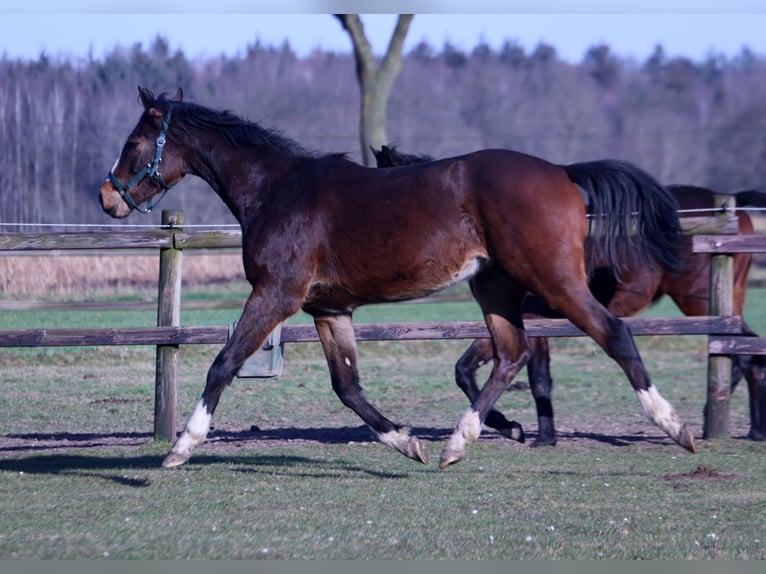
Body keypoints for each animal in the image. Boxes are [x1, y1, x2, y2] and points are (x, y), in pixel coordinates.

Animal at [100, 88, 696, 470]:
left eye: (133, 143)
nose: (108, 197)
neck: (276, 190)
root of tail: (564, 173)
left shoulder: (275, 295)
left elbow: (223, 364)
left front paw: (181, 447)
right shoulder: (328, 310)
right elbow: (347, 387)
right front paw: (407, 443)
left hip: (550, 281)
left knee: (612, 334)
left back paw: (675, 426)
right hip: (495, 286)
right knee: (512, 354)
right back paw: (458, 442)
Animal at [374, 146, 766, 448]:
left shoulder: (531, 319)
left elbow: (522, 377)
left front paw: (529, 433)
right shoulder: (528, 320)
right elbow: (488, 371)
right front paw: (527, 431)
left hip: (698, 300)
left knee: (741, 352)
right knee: (748, 354)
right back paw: (750, 429)